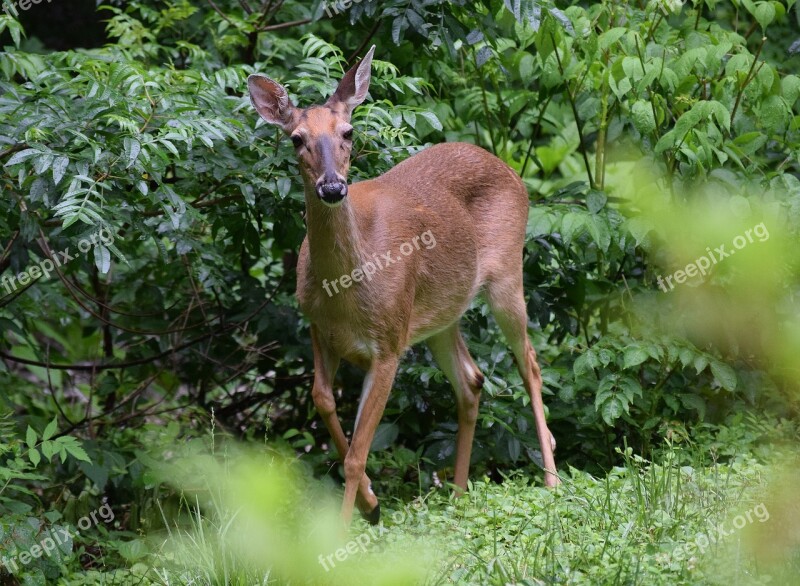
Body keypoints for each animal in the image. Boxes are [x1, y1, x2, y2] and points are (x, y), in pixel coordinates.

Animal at [247, 43, 560, 524]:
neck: (345, 290)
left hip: (507, 274)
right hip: (439, 315)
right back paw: (458, 494)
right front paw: (371, 502)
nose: (333, 187)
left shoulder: (390, 344)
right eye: (296, 138)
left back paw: (552, 479)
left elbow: (357, 453)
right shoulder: (319, 327)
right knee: (472, 379)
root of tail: (509, 170)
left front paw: (349, 525)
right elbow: (323, 401)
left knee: (530, 361)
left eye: (349, 131)